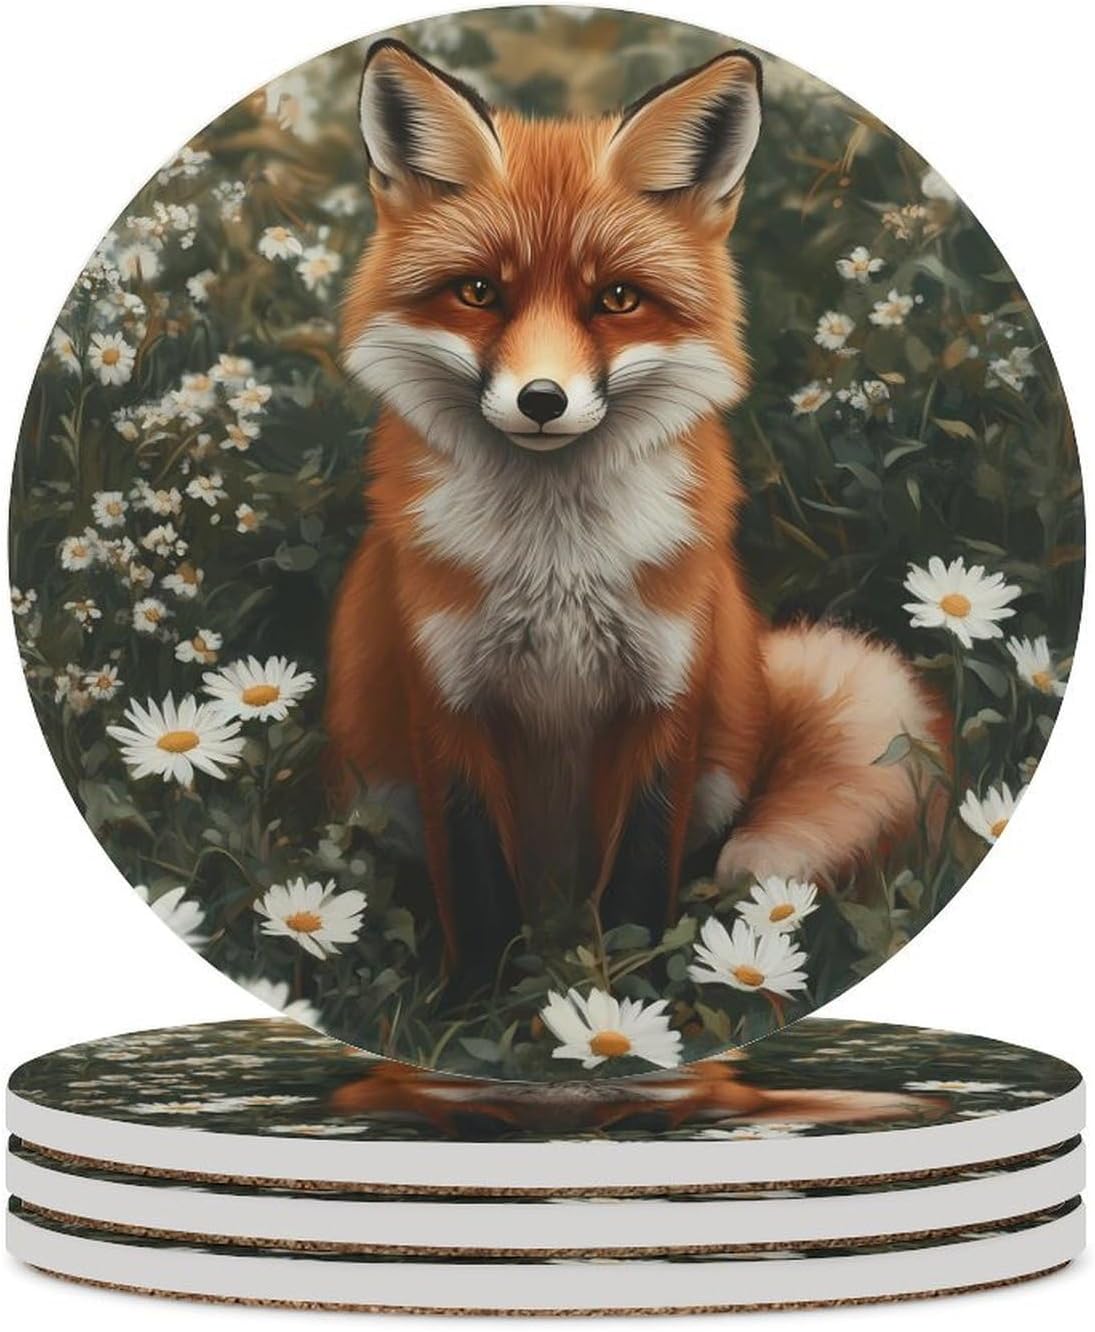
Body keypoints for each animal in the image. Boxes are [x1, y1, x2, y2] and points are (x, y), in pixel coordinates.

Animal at [326, 40, 945, 974]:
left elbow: (643, 875)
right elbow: (474, 889)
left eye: (615, 299)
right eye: (479, 293)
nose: (541, 401)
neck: (553, 561)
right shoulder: (443, 700)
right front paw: (478, 994)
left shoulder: (666, 693)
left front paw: (635, 991)